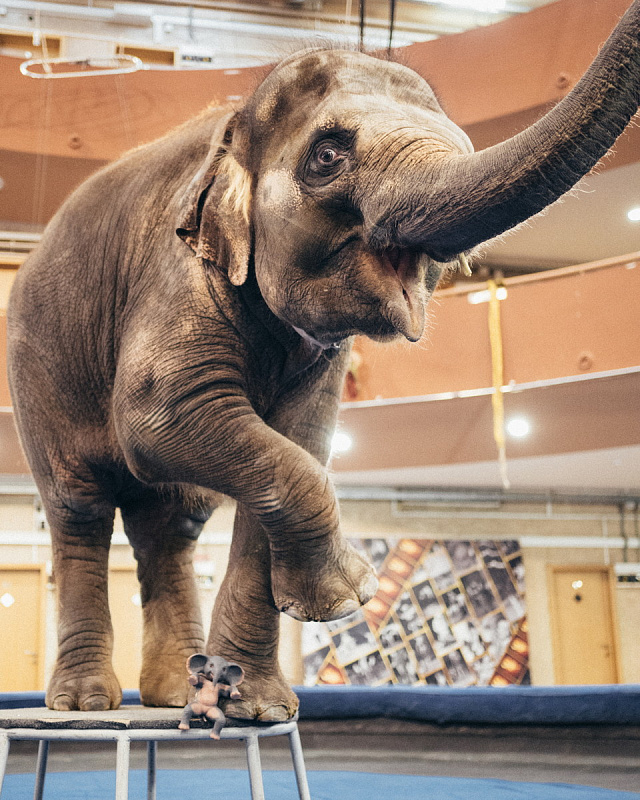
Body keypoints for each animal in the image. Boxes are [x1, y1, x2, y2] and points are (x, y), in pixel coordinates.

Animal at [7, 1, 640, 719]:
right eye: (328, 156)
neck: (234, 127)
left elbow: (297, 442)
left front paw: (258, 709)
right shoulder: (175, 267)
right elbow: (160, 416)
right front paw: (347, 598)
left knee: (172, 521)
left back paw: (171, 699)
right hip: (37, 368)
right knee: (78, 508)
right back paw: (85, 704)